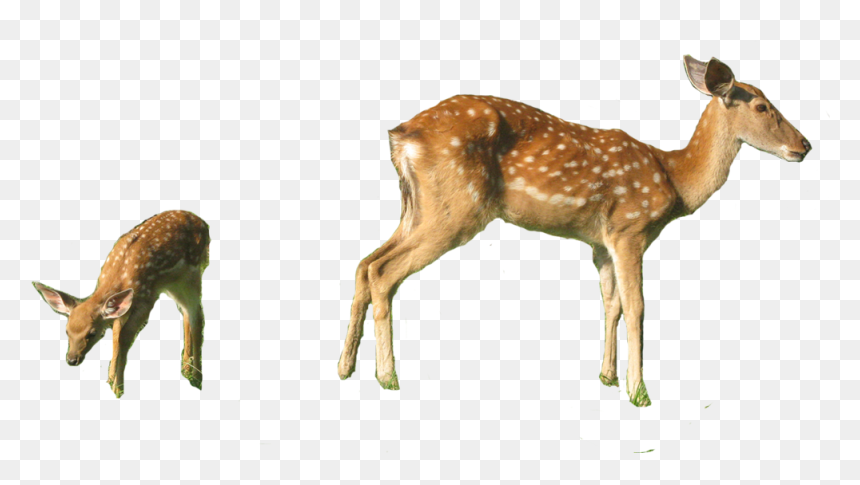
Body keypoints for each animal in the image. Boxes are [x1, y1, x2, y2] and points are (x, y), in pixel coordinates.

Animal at [33, 210, 210, 398]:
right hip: (173, 285)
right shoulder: (123, 308)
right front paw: (110, 379)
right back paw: (186, 369)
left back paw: (197, 377)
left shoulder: (145, 299)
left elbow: (124, 338)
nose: (71, 360)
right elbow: (116, 336)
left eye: (92, 333)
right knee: (186, 313)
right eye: (67, 331)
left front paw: (118, 389)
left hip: (193, 274)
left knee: (197, 317)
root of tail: (202, 222)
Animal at [337, 56, 811, 407]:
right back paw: (387, 376)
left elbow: (611, 305)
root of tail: (400, 137)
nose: (804, 146)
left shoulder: (600, 242)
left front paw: (607, 377)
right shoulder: (629, 228)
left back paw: (345, 368)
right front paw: (638, 392)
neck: (674, 177)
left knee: (364, 263)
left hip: (416, 206)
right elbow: (637, 307)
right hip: (456, 207)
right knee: (384, 271)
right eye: (762, 106)